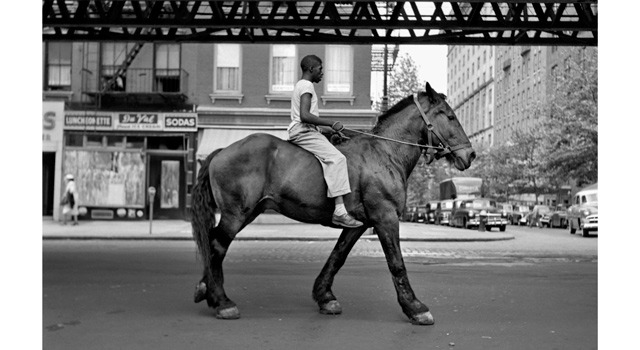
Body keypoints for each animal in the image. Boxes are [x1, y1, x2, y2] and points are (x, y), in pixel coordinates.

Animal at [190, 82, 476, 326]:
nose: (470, 154)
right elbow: (396, 262)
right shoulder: (385, 217)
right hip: (236, 214)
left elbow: (337, 256)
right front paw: (415, 307)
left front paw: (324, 296)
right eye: (449, 116)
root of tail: (222, 151)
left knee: (213, 242)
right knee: (216, 245)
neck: (385, 153)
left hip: (248, 212)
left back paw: (206, 289)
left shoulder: (359, 224)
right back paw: (221, 301)